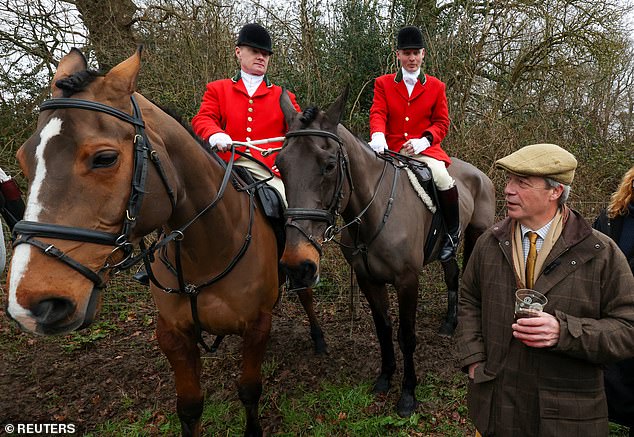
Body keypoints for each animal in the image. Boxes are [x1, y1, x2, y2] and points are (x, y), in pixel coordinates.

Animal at [3, 46, 320, 434]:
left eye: (105, 158)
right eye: (23, 159)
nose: (32, 304)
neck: (207, 251)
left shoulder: (257, 325)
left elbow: (249, 390)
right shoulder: (172, 336)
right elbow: (190, 406)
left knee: (305, 295)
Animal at [274, 87, 496, 416]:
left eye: (329, 165)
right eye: (281, 164)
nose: (296, 264)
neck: (375, 212)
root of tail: (479, 173)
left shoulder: (407, 281)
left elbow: (406, 335)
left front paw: (408, 394)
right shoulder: (368, 279)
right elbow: (383, 328)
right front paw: (385, 378)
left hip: (476, 234)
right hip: (445, 248)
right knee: (452, 274)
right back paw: (448, 322)